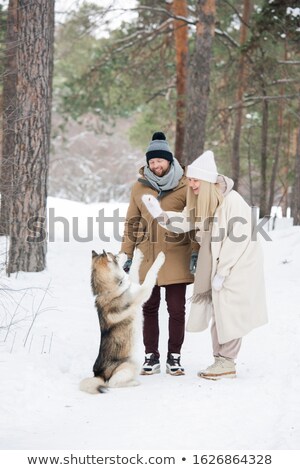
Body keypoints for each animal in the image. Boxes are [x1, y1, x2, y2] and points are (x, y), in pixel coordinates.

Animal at [78, 248, 165, 394]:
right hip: (132, 363)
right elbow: (150, 274)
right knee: (112, 383)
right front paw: (160, 257)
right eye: (115, 256)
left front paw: (137, 254)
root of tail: (99, 375)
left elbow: (134, 270)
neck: (110, 289)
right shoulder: (142, 292)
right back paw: (134, 382)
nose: (124, 251)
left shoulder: (135, 284)